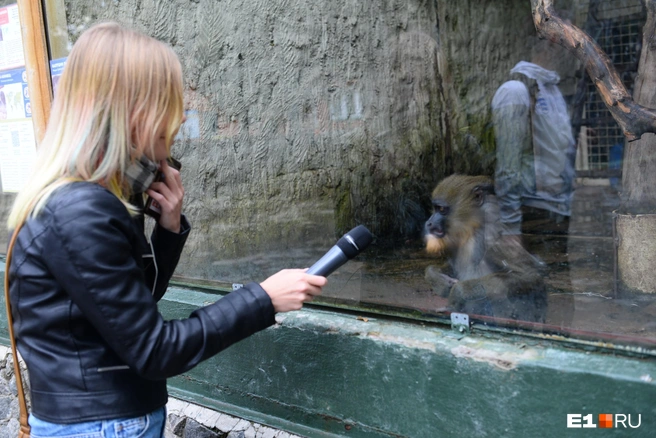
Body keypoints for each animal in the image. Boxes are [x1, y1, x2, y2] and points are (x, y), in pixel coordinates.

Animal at [422, 174, 544, 322]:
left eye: (441, 209)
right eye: (435, 208)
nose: (429, 223)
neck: (473, 227)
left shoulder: (493, 233)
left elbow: (531, 275)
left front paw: (457, 292)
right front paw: (437, 278)